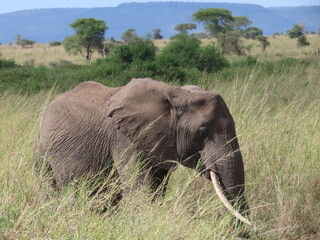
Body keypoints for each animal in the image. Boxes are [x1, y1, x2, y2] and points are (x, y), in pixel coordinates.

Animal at [34, 78, 250, 224]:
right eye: (203, 132)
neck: (175, 94)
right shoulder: (124, 138)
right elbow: (139, 189)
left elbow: (157, 188)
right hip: (43, 148)